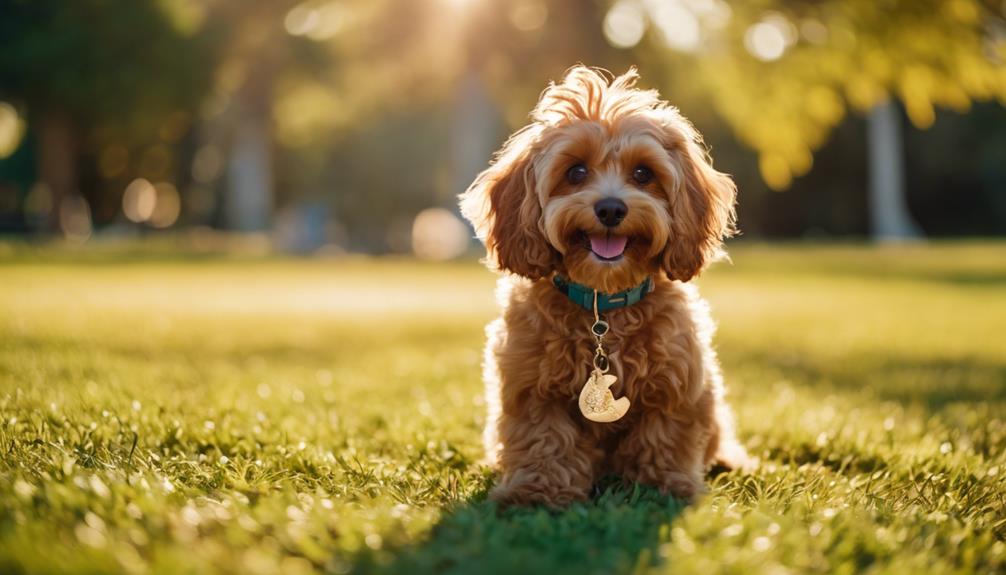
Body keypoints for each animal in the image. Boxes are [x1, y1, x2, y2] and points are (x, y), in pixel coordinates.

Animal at [460, 66, 752, 506]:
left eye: (643, 173)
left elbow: (663, 439)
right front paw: (537, 492)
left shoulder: (676, 387)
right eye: (576, 171)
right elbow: (545, 441)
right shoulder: (533, 390)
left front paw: (661, 488)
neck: (603, 306)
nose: (611, 208)